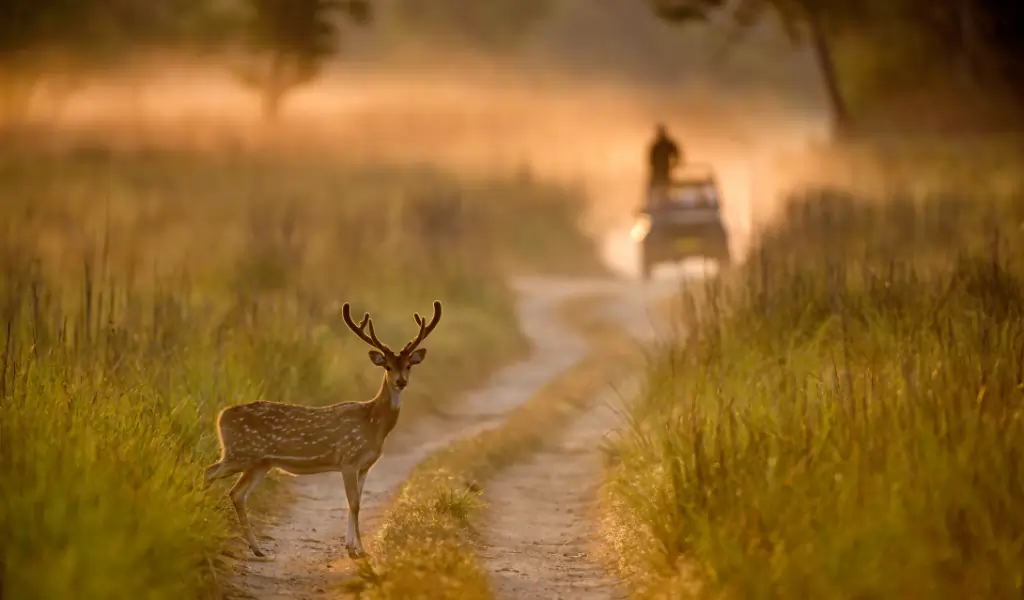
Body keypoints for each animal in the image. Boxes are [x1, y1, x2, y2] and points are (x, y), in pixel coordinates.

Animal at [204, 300, 442, 559]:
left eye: (408, 365)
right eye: (387, 366)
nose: (401, 381)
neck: (373, 425)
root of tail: (221, 416)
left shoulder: (365, 466)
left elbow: (355, 503)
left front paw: (351, 546)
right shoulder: (348, 458)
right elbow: (354, 503)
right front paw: (360, 549)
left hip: (260, 462)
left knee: (237, 493)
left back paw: (257, 549)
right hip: (240, 452)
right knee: (210, 472)